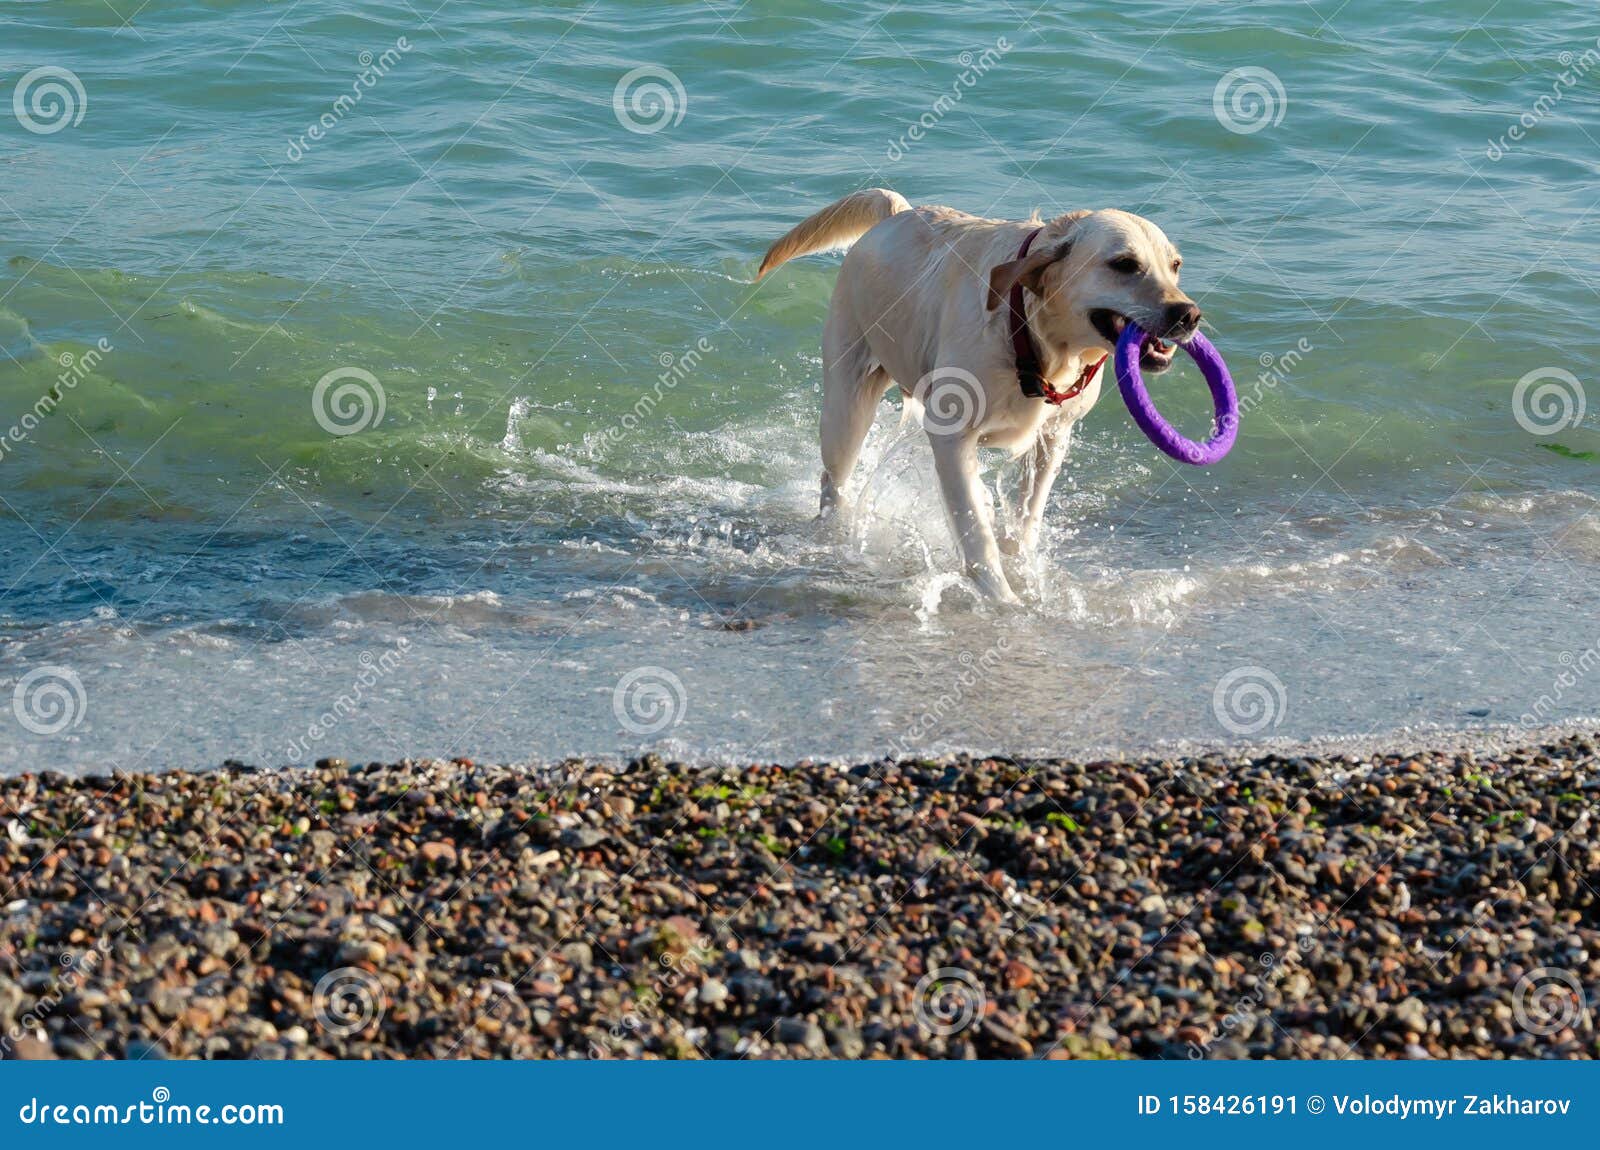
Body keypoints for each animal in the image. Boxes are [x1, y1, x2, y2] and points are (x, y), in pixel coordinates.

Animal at [755, 188, 1196, 601]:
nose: (1189, 314)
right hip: (847, 405)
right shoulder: (951, 436)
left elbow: (1026, 519)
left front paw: (1022, 570)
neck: (1028, 332)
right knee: (834, 480)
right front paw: (1002, 599)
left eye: (1175, 266)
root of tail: (896, 213)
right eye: (1124, 264)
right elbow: (975, 532)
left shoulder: (1053, 437)